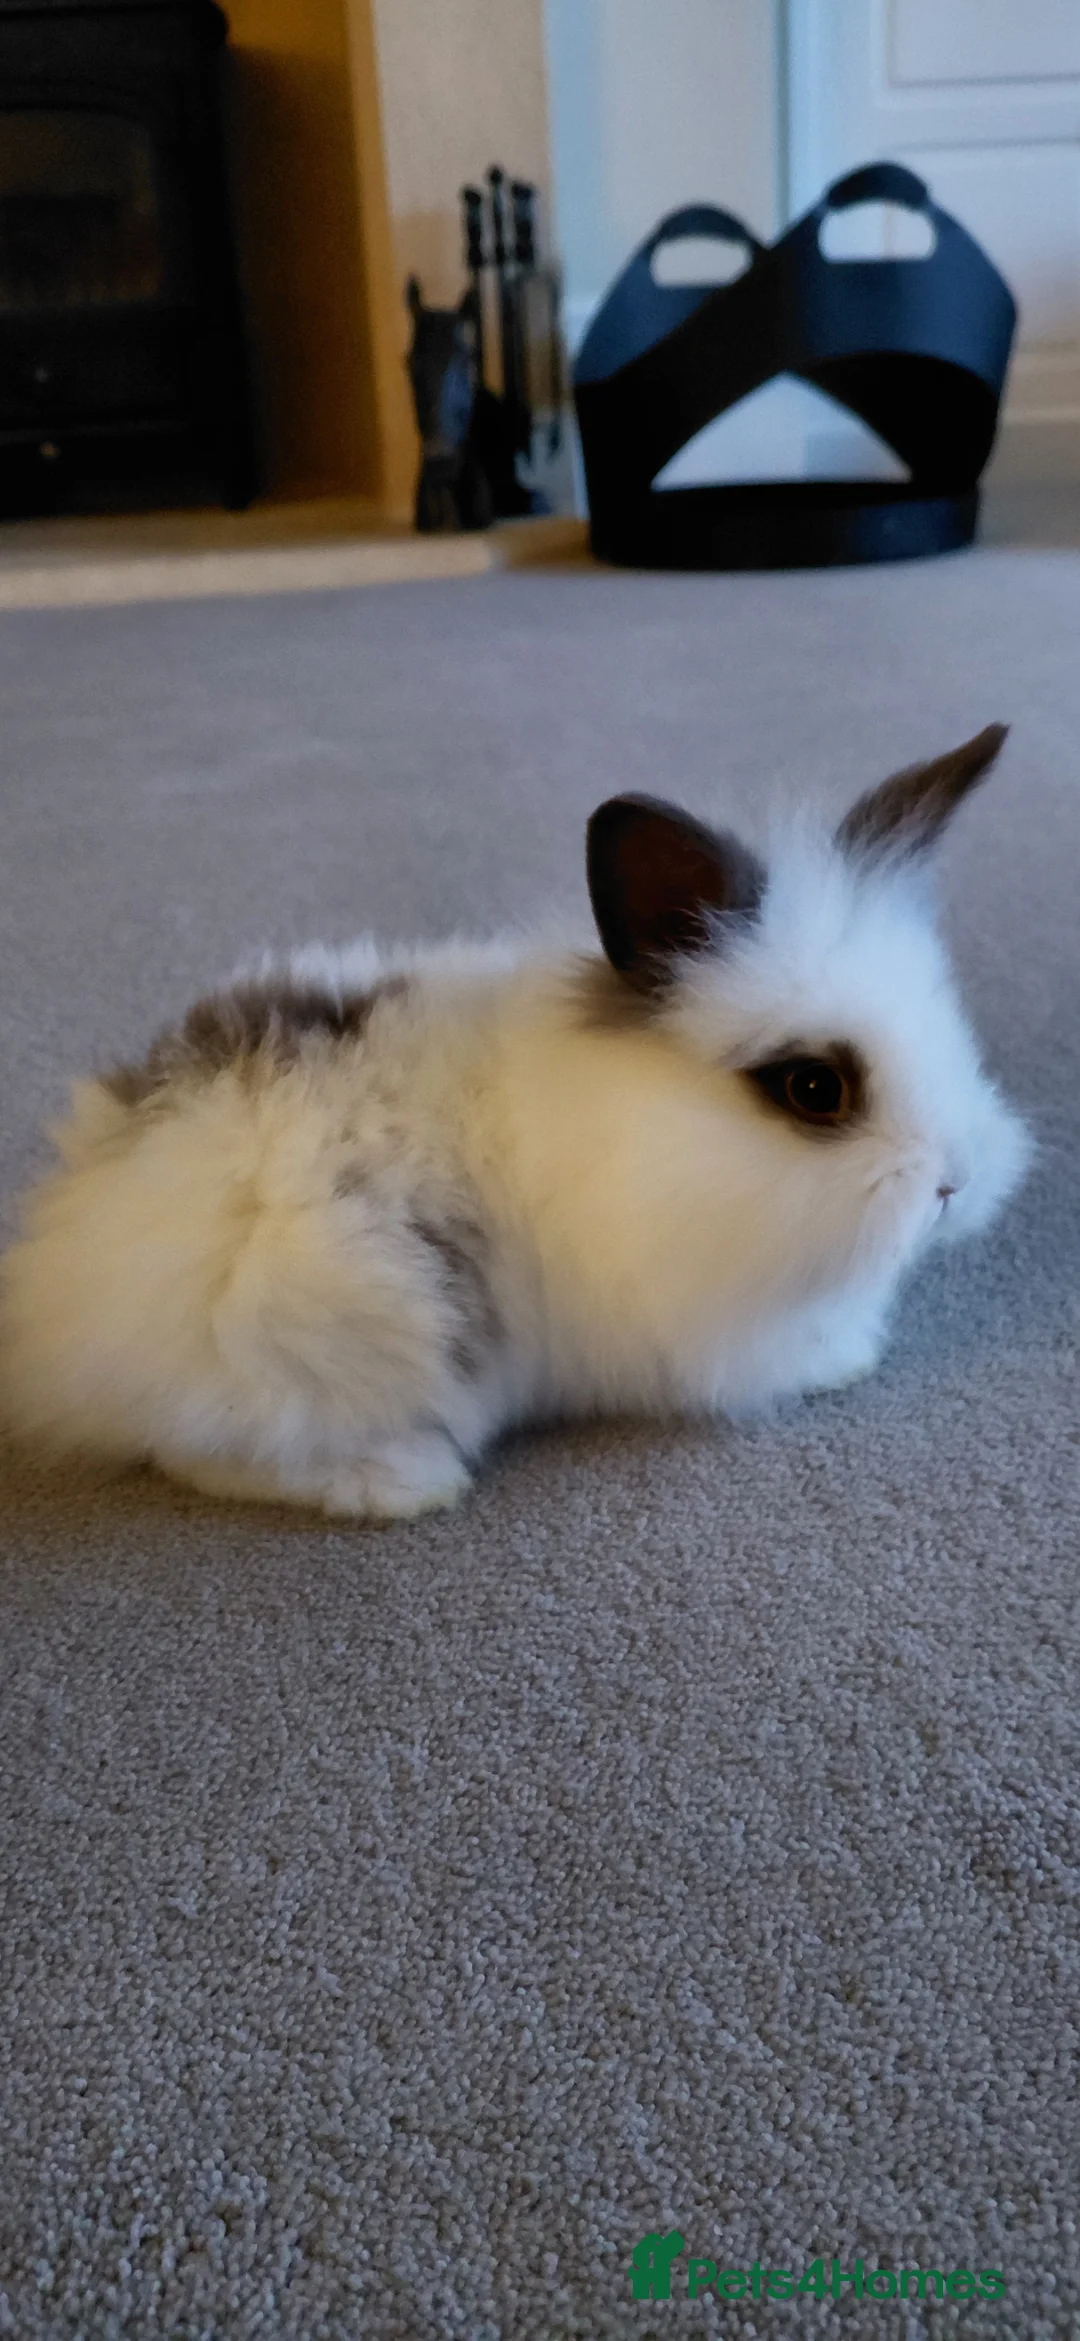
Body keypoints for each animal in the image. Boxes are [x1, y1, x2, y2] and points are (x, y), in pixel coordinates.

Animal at [0, 722, 1031, 1522]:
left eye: (951, 1027)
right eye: (815, 1088)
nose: (954, 1183)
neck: (650, 1135)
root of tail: (57, 1298)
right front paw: (845, 1359)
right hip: (327, 1320)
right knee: (212, 1448)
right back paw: (403, 1482)